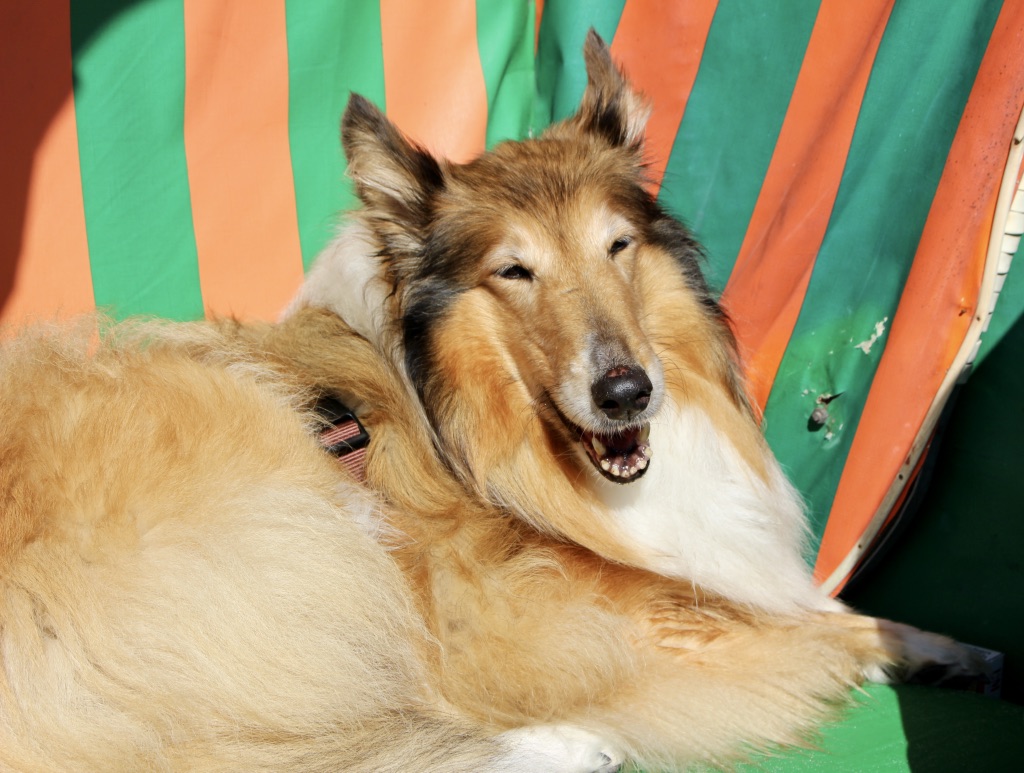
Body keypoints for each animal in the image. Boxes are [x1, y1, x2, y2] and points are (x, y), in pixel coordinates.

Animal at [2, 33, 974, 773]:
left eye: (617, 245)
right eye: (514, 271)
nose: (626, 392)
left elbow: (832, 611)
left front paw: (953, 651)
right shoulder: (572, 618)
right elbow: (805, 633)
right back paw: (569, 744)